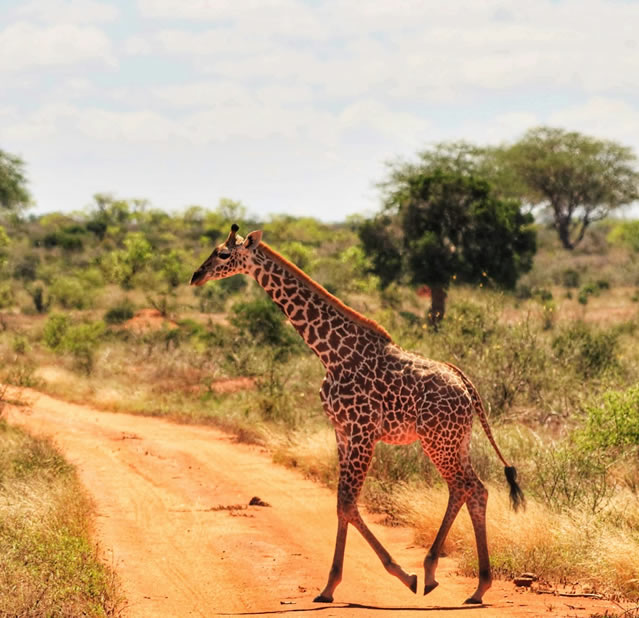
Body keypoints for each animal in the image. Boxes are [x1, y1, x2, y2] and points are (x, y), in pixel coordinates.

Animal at [191, 225, 524, 600]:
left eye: (223, 254)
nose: (196, 276)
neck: (331, 354)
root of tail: (467, 388)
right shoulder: (341, 430)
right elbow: (342, 503)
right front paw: (330, 586)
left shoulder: (362, 430)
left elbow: (348, 502)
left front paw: (400, 575)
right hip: (456, 440)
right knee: (473, 490)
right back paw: (471, 584)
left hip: (438, 441)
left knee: (465, 487)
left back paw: (442, 575)